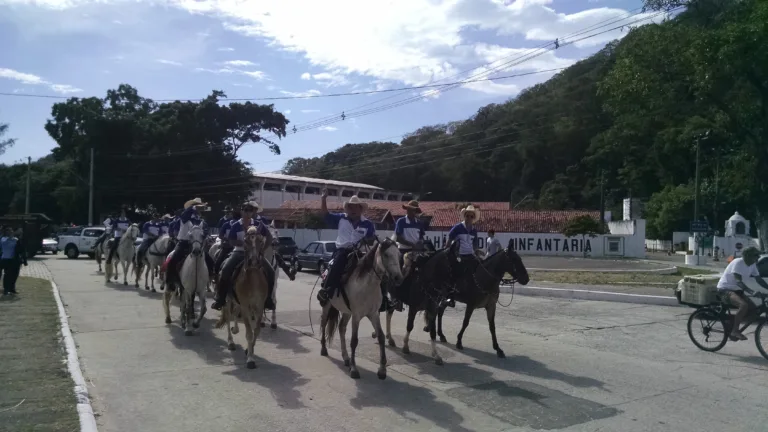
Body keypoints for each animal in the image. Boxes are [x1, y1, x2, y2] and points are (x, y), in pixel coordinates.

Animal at [320, 238, 404, 380]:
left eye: (399, 255)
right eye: (386, 254)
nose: (398, 277)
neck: (367, 285)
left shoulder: (373, 314)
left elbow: (381, 336)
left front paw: (382, 370)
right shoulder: (357, 315)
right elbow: (354, 341)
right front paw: (354, 369)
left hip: (346, 312)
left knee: (342, 328)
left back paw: (346, 357)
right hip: (327, 305)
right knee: (323, 323)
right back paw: (324, 349)